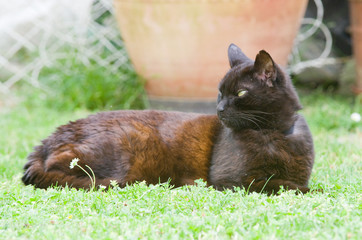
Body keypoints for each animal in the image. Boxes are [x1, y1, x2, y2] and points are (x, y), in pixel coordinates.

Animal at [21, 43, 314, 193]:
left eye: (240, 93)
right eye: (220, 93)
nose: (219, 109)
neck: (272, 134)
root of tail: (45, 142)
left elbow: (295, 183)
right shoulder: (233, 180)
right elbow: (284, 185)